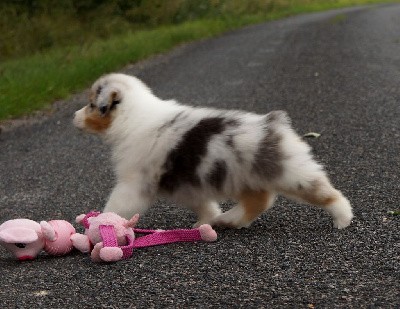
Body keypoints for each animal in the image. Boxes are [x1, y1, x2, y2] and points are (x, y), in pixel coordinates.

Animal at [72, 73, 354, 229]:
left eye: (91, 105)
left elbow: (117, 205)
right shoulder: (188, 185)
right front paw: (206, 221)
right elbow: (204, 205)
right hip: (244, 177)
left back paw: (342, 218)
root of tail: (274, 123)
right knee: (260, 200)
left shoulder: (133, 183)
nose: (74, 117)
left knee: (327, 193)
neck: (132, 118)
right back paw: (229, 219)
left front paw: (101, 223)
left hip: (291, 173)